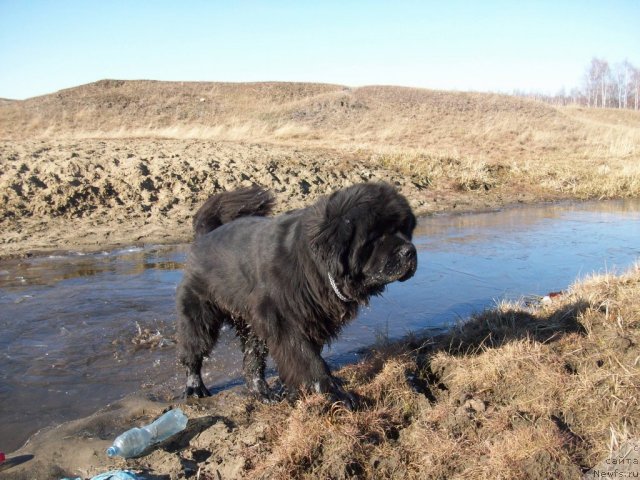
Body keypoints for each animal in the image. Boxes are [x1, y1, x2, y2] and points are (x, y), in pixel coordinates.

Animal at [176, 182, 416, 406]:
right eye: (376, 236)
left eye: (404, 230)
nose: (410, 251)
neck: (316, 265)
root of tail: (205, 235)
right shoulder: (283, 319)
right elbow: (308, 359)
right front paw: (334, 393)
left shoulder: (313, 320)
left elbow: (299, 358)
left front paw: (291, 390)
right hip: (201, 313)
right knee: (194, 349)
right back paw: (195, 387)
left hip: (251, 323)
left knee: (251, 361)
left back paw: (263, 394)